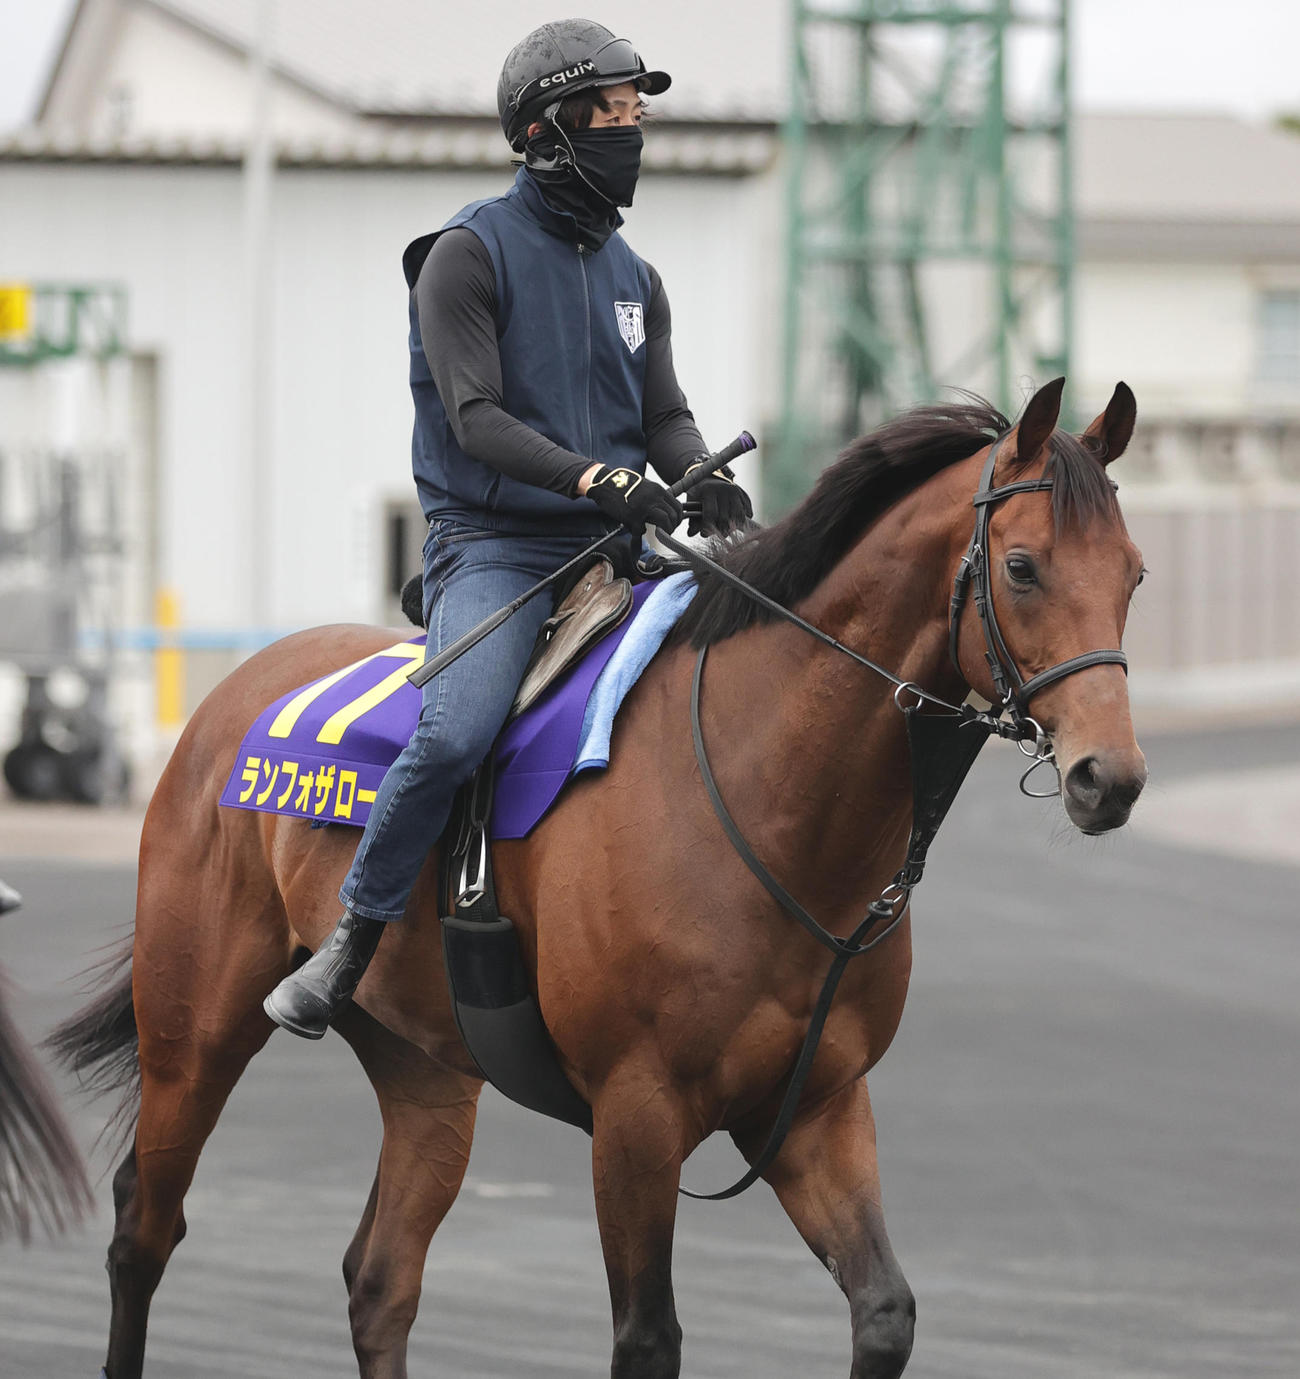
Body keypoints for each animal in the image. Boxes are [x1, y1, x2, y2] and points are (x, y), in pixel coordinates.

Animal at [50, 378, 1147, 1379]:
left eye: (1134, 574)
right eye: (1021, 566)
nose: (1112, 776)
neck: (759, 793)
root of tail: (229, 694)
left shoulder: (816, 1104)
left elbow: (884, 1312)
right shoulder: (636, 1114)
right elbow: (647, 1337)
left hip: (427, 1071)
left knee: (379, 1278)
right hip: (195, 1026)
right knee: (144, 1228)